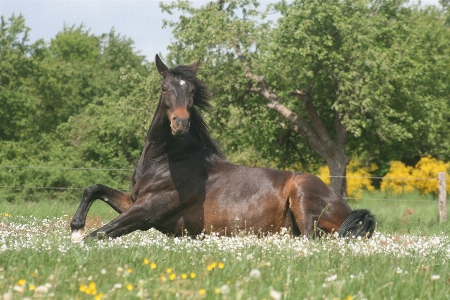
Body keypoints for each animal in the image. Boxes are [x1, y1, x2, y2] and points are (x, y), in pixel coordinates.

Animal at [70, 54, 374, 241]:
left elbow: (98, 235)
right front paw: (75, 226)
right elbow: (93, 189)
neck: (169, 162)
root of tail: (349, 210)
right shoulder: (132, 201)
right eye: (165, 88)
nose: (180, 123)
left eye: (192, 92)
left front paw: (76, 238)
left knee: (310, 241)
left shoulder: (146, 212)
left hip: (302, 194)